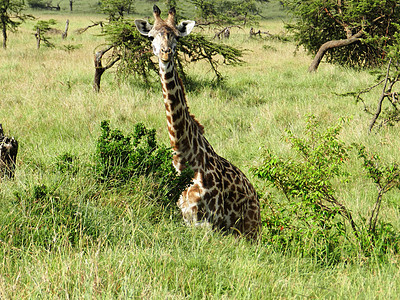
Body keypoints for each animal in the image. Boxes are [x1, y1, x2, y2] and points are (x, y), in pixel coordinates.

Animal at [134, 5, 260, 239]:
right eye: (151, 37)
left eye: (176, 36)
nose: (165, 53)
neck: (185, 156)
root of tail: (255, 194)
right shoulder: (181, 217)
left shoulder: (206, 223)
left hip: (250, 231)